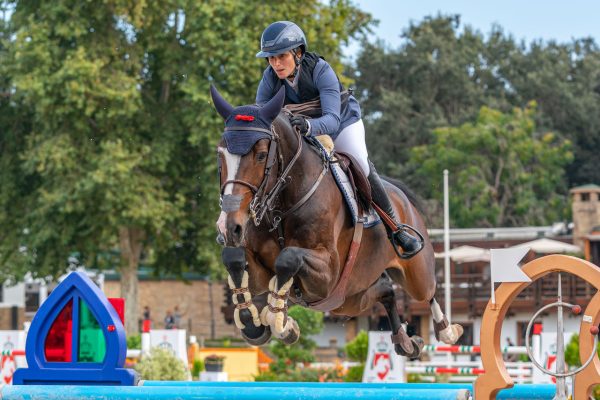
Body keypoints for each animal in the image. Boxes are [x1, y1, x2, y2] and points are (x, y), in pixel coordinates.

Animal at [211, 86, 464, 358]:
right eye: (220, 154)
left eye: (260, 155)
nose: (230, 227)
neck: (282, 206)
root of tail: (402, 197)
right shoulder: (261, 271)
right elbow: (235, 260)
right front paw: (258, 325)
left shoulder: (328, 273)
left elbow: (288, 258)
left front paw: (281, 323)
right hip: (348, 298)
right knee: (385, 290)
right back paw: (406, 342)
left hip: (410, 275)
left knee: (428, 291)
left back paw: (447, 331)